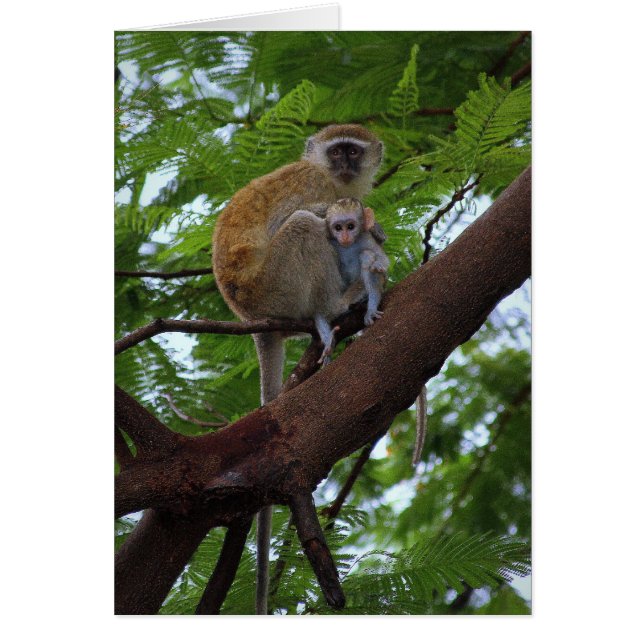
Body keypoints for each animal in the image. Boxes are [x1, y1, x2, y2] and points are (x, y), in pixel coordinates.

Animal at [325, 197, 389, 328]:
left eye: (350, 226)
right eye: (338, 228)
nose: (344, 237)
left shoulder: (366, 237)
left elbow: (382, 259)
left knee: (366, 255)